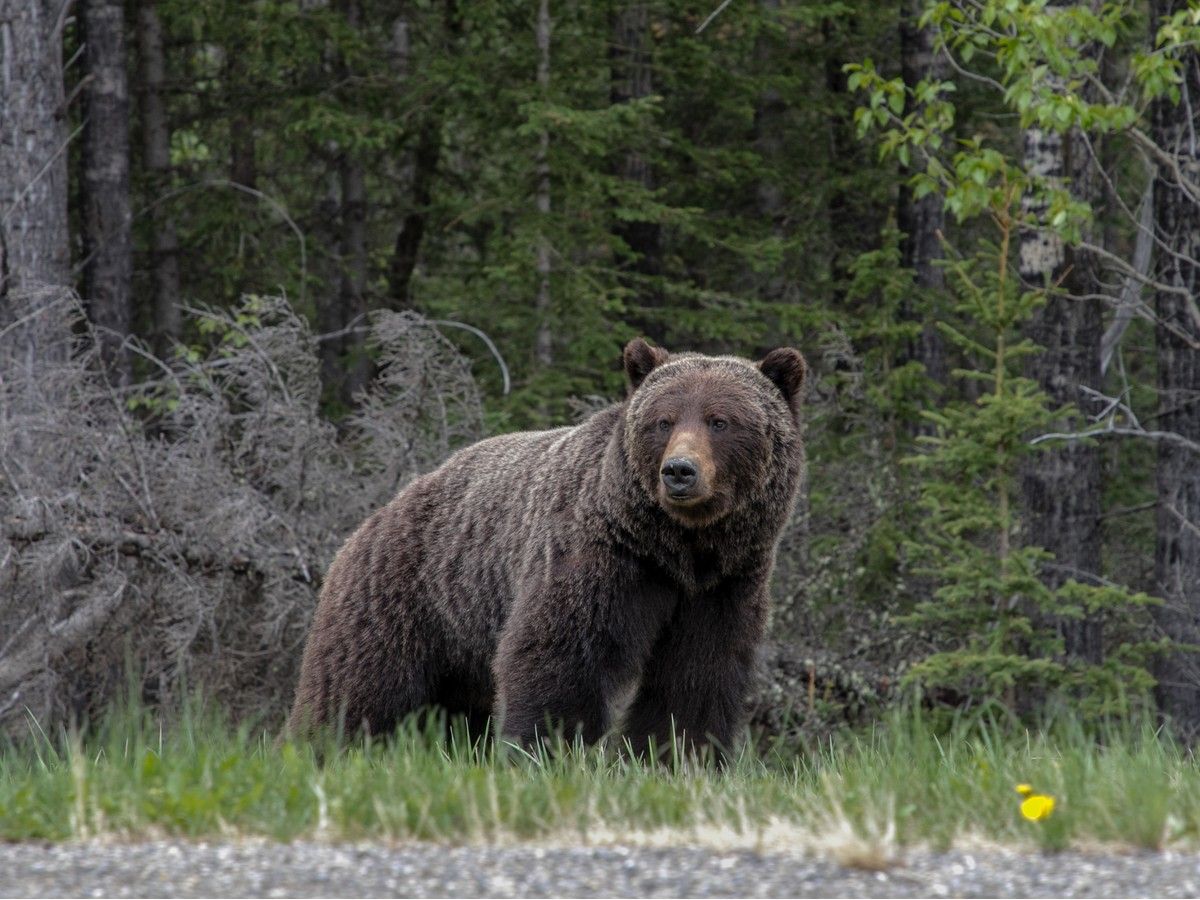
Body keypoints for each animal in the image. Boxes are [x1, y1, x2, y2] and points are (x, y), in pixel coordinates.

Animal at [286, 338, 807, 756]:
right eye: (663, 421)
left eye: (721, 421)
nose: (679, 471)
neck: (678, 548)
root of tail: (373, 519)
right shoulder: (600, 556)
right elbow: (559, 653)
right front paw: (547, 750)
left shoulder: (723, 585)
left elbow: (696, 674)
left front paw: (678, 756)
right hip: (403, 596)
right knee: (356, 688)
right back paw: (320, 749)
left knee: (456, 708)